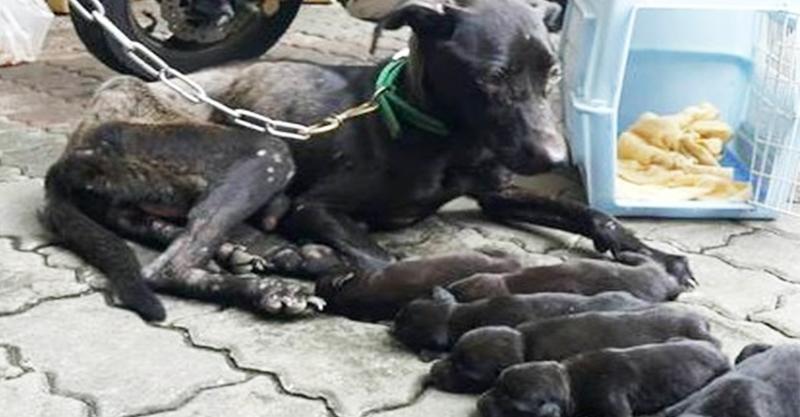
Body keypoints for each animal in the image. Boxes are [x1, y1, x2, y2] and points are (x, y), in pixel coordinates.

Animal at [44, 0, 691, 321]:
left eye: (552, 74)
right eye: (492, 78)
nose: (555, 155)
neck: (441, 135)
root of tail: (76, 143)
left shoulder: (495, 189)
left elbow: (592, 214)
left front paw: (652, 252)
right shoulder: (313, 207)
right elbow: (378, 256)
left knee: (170, 233)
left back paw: (255, 258)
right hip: (265, 152)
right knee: (168, 266)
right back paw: (271, 283)